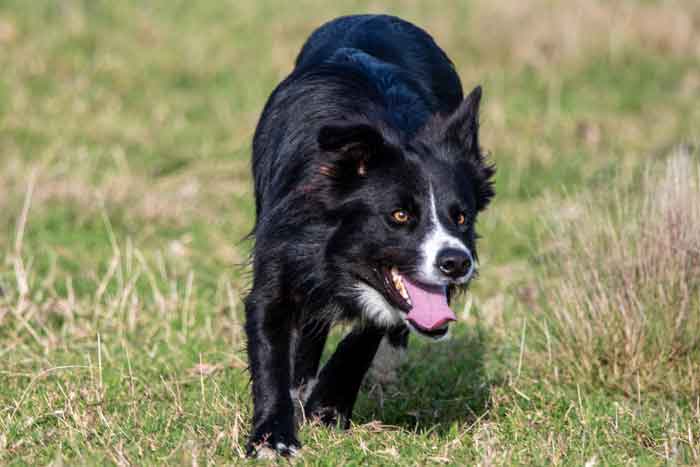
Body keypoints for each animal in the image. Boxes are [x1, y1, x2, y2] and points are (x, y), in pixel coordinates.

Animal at [243, 13, 494, 458]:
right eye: (399, 215)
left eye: (461, 217)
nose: (456, 263)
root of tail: (375, 15)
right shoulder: (280, 258)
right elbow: (271, 347)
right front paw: (274, 436)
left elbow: (367, 333)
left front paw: (329, 404)